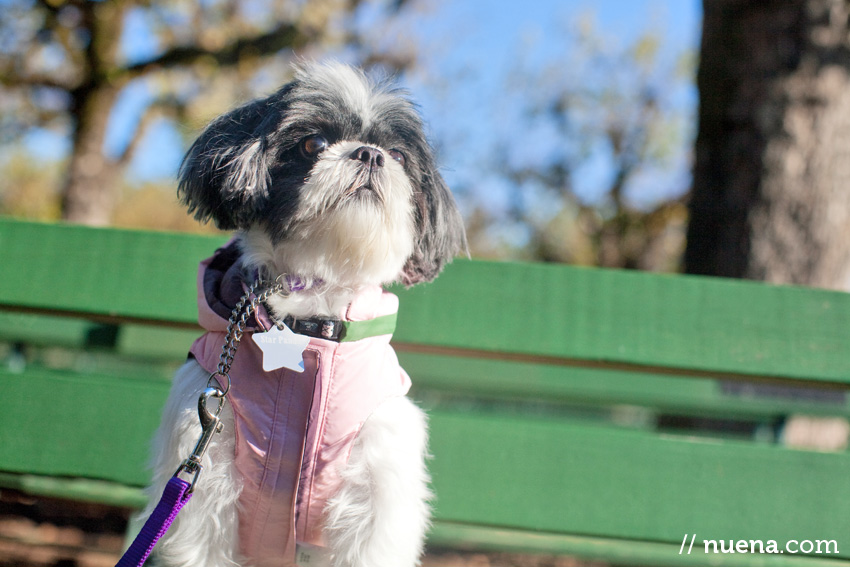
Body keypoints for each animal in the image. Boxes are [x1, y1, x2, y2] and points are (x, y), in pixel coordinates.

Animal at [138, 62, 464, 567]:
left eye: (397, 154)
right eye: (313, 144)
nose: (370, 154)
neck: (310, 317)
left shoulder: (376, 483)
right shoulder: (203, 471)